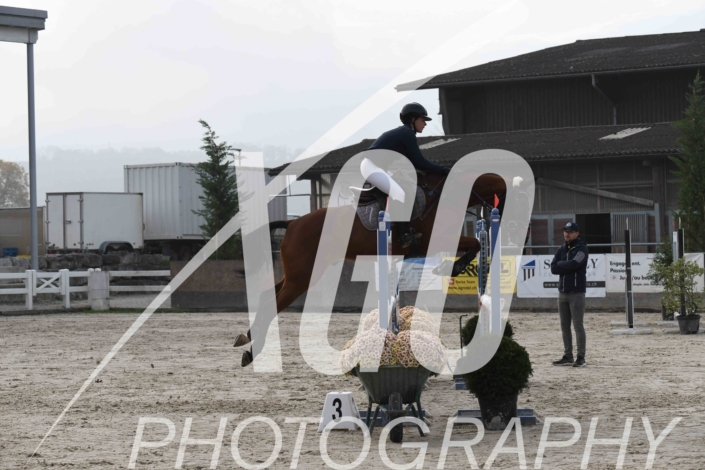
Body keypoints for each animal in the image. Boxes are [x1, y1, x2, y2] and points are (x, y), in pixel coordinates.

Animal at [235, 171, 509, 367]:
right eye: (506, 196)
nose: (508, 222)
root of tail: (292, 223)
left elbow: (474, 244)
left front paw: (452, 267)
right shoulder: (437, 239)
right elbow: (474, 244)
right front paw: (454, 268)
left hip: (298, 275)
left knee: (267, 295)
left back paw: (246, 338)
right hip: (302, 278)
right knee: (273, 302)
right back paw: (251, 350)